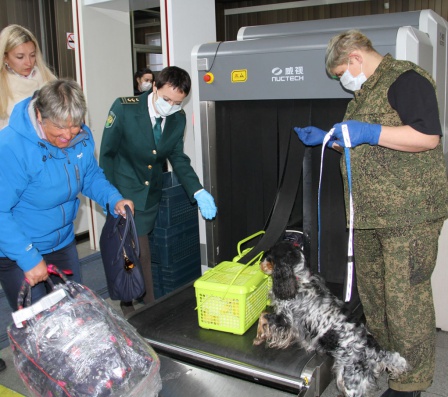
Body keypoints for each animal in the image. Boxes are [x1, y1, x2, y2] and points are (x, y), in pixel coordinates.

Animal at [254, 240, 408, 394]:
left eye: (270, 257)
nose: (260, 263)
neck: (299, 279)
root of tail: (375, 350)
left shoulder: (285, 319)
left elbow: (263, 316)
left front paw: (258, 337)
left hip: (350, 380)